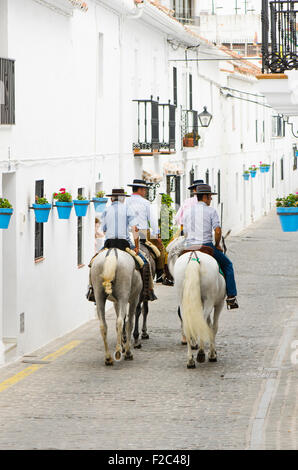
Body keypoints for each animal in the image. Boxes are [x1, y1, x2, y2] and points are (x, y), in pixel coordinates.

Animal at [168, 237, 226, 370]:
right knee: (202, 321)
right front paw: (212, 354)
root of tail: (194, 257)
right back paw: (200, 353)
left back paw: (190, 360)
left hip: (183, 298)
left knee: (186, 322)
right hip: (209, 301)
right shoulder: (218, 303)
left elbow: (208, 325)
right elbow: (213, 326)